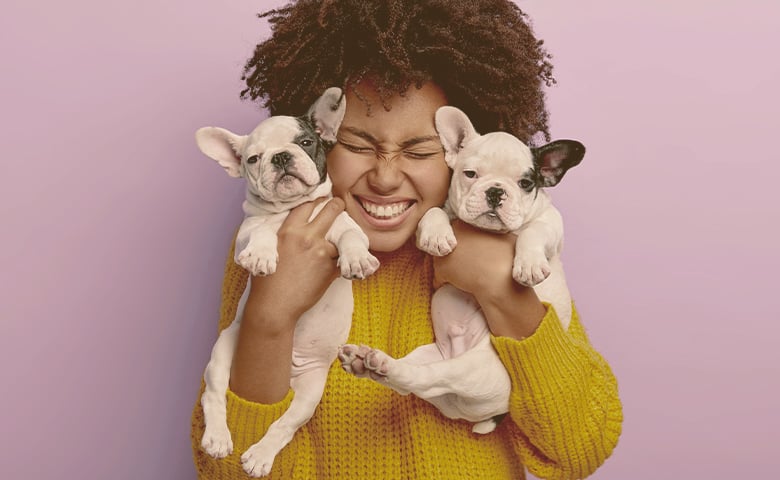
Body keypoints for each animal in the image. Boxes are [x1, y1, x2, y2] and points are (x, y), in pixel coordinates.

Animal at [194, 88, 378, 478]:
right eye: (252, 158)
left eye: (305, 142)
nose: (281, 157)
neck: (292, 210)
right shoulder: (245, 234)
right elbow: (262, 231)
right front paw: (263, 255)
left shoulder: (343, 224)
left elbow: (351, 238)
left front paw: (356, 260)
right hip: (223, 350)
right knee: (214, 395)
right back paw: (218, 439)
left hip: (310, 392)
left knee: (285, 424)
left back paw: (260, 455)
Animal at [338, 105, 580, 436]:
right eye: (470, 174)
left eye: (526, 183)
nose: (495, 192)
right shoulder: (443, 209)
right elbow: (433, 211)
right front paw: (436, 236)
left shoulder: (553, 224)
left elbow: (534, 232)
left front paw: (529, 265)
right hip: (432, 356)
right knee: (416, 380)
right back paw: (367, 362)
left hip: (474, 369)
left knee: (426, 378)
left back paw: (374, 364)